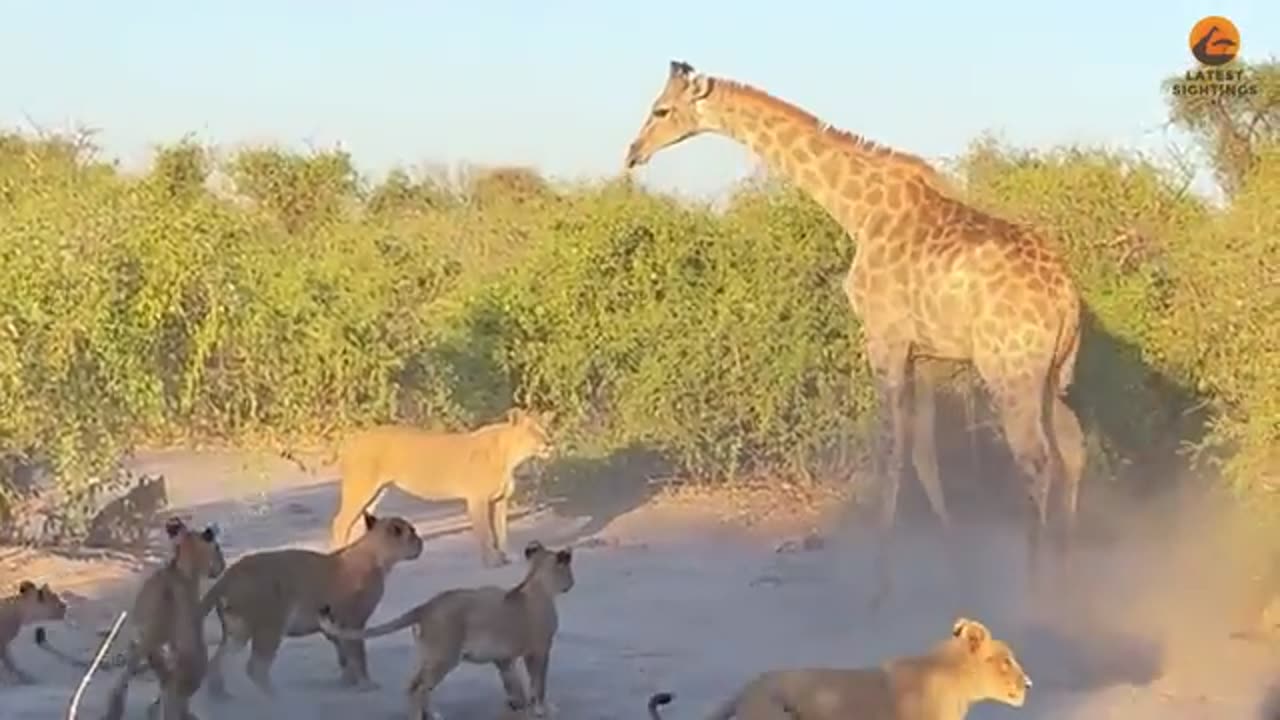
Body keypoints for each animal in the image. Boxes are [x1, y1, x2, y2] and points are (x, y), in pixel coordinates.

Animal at [196, 511, 423, 698]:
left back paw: (220, 696)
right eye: (412, 533)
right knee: (255, 668)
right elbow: (358, 655)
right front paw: (365, 684)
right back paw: (276, 697)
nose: (421, 542)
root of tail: (229, 573)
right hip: (269, 628)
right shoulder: (354, 621)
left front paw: (347, 682)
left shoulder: (335, 624)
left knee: (217, 661)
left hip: (238, 632)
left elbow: (344, 655)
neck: (376, 554)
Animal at [316, 539, 575, 720]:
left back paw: (430, 714)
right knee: (420, 689)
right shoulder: (539, 650)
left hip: (427, 656)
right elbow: (538, 684)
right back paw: (421, 717)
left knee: (413, 685)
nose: (572, 584)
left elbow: (514, 684)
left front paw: (518, 706)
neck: (537, 584)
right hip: (445, 657)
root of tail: (427, 605)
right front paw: (542, 709)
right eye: (569, 572)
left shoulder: (503, 657)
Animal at [326, 407, 556, 568]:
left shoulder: (499, 500)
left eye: (545, 429)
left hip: (376, 492)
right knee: (341, 522)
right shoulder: (477, 500)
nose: (549, 443)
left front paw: (509, 556)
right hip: (361, 488)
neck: (511, 456)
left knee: (358, 524)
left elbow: (502, 531)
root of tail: (353, 440)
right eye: (532, 431)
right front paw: (492, 561)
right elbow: (486, 534)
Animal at [622, 60, 1086, 607]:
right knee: (1072, 448)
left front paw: (880, 589)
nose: (633, 153)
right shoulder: (924, 354)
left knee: (1035, 459)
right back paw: (1065, 575)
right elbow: (922, 452)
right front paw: (956, 568)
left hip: (1010, 372)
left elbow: (888, 452)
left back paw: (1033, 592)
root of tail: (1065, 298)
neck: (856, 210)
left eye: (661, 110)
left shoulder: (882, 339)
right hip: (1054, 374)